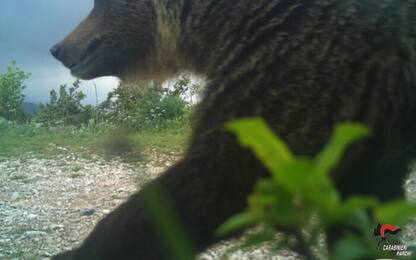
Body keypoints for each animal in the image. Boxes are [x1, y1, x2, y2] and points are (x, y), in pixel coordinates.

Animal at [50, 0, 416, 258]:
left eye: (97, 1)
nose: (57, 48)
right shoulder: (368, 131)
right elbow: (362, 204)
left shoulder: (292, 74)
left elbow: (217, 177)